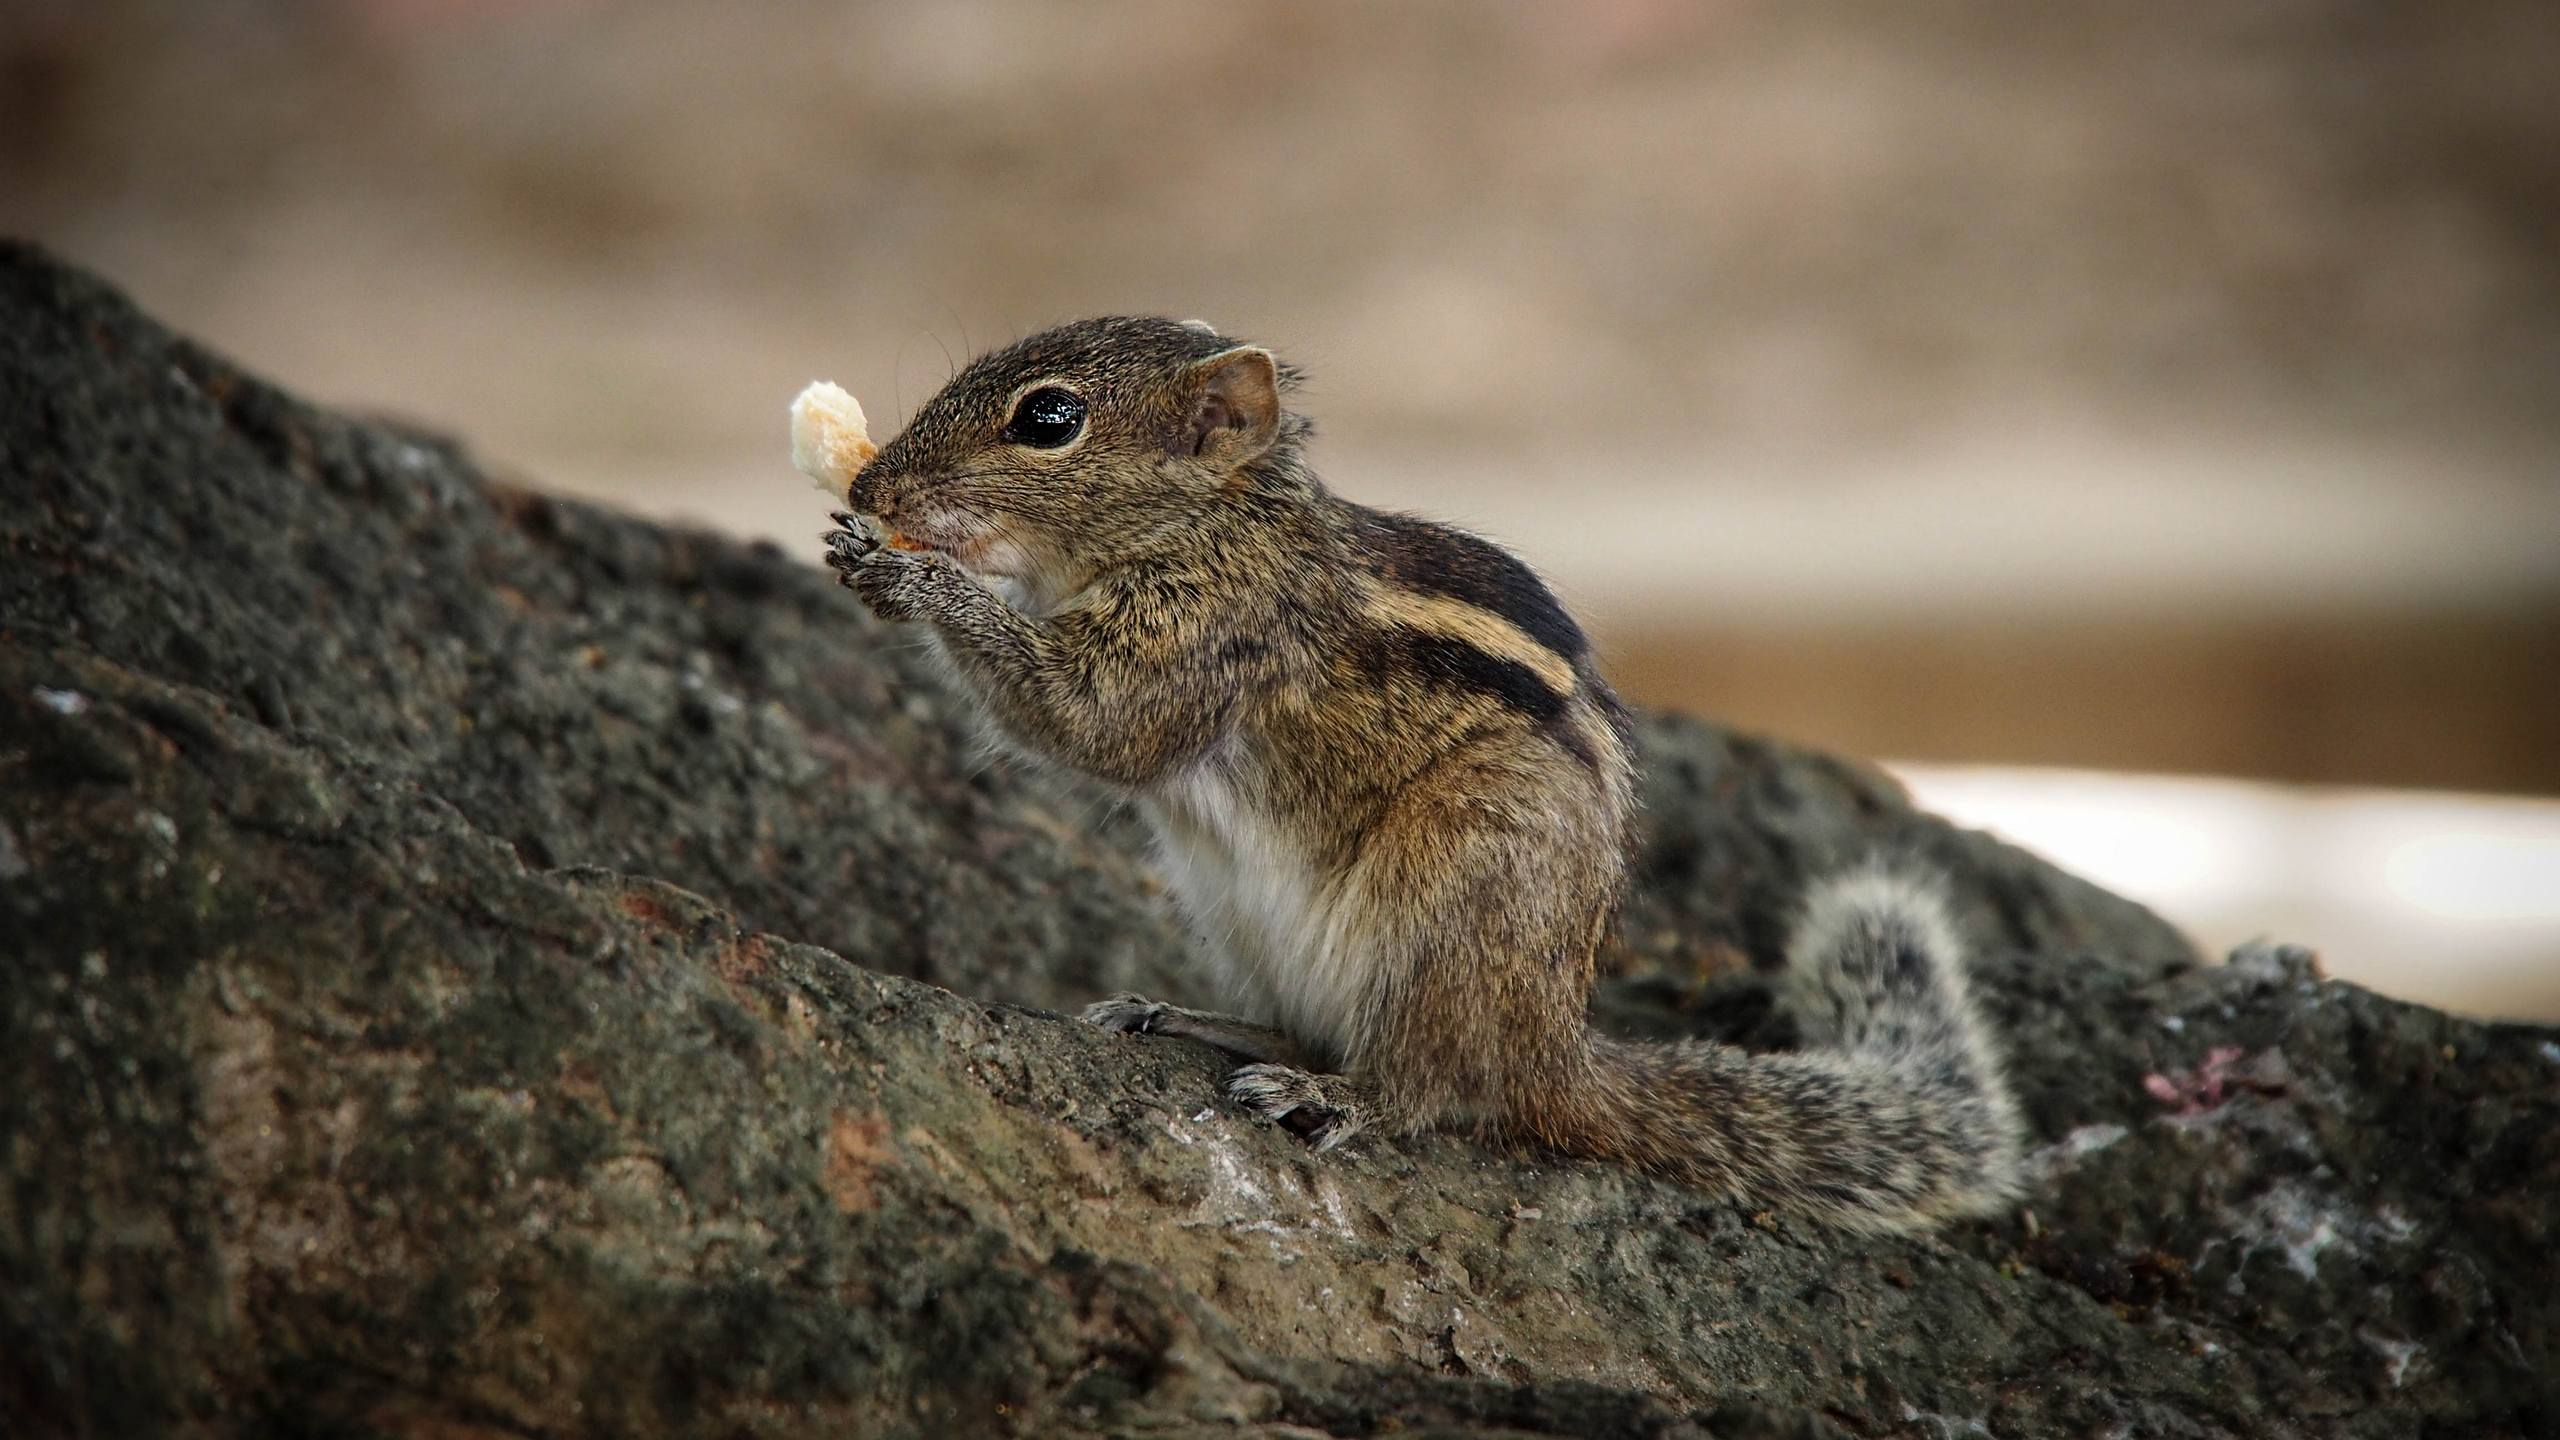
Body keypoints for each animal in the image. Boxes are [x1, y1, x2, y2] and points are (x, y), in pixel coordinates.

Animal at [819, 319, 2017, 1229]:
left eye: (1048, 419)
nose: (874, 481)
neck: (1216, 523)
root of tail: (1553, 1051)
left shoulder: (1205, 638)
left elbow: (1091, 723)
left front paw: (913, 579)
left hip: (1451, 898)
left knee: (1434, 1090)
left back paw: (1334, 1098)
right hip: (1235, 912)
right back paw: (1191, 1021)